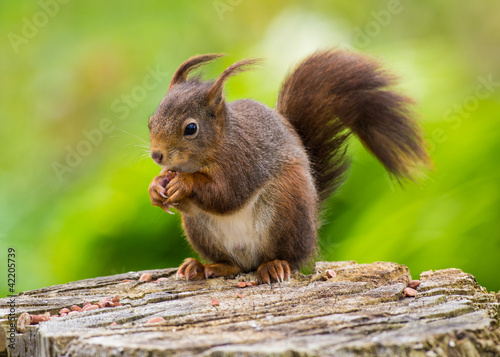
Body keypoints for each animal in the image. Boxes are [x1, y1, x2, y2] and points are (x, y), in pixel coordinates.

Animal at [146, 50, 428, 284]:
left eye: (191, 128)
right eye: (151, 120)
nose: (157, 155)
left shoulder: (244, 160)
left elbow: (226, 194)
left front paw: (184, 184)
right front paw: (156, 187)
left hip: (286, 209)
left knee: (288, 258)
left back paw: (273, 266)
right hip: (201, 231)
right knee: (233, 265)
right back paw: (203, 267)